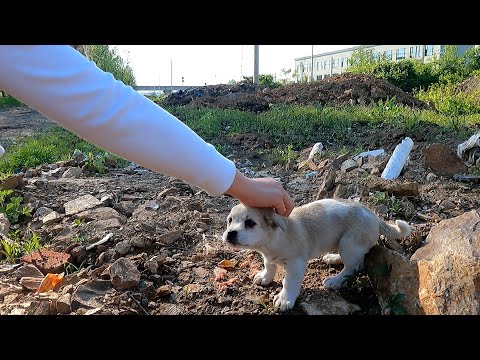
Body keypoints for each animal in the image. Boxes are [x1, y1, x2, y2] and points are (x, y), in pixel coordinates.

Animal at [223, 200, 410, 312]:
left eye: (250, 223)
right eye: (229, 220)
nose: (230, 233)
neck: (272, 240)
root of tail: (375, 217)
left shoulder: (296, 264)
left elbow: (288, 282)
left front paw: (284, 299)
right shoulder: (268, 257)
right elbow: (269, 266)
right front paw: (265, 277)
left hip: (349, 244)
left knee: (353, 267)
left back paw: (335, 281)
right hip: (345, 246)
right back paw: (333, 258)